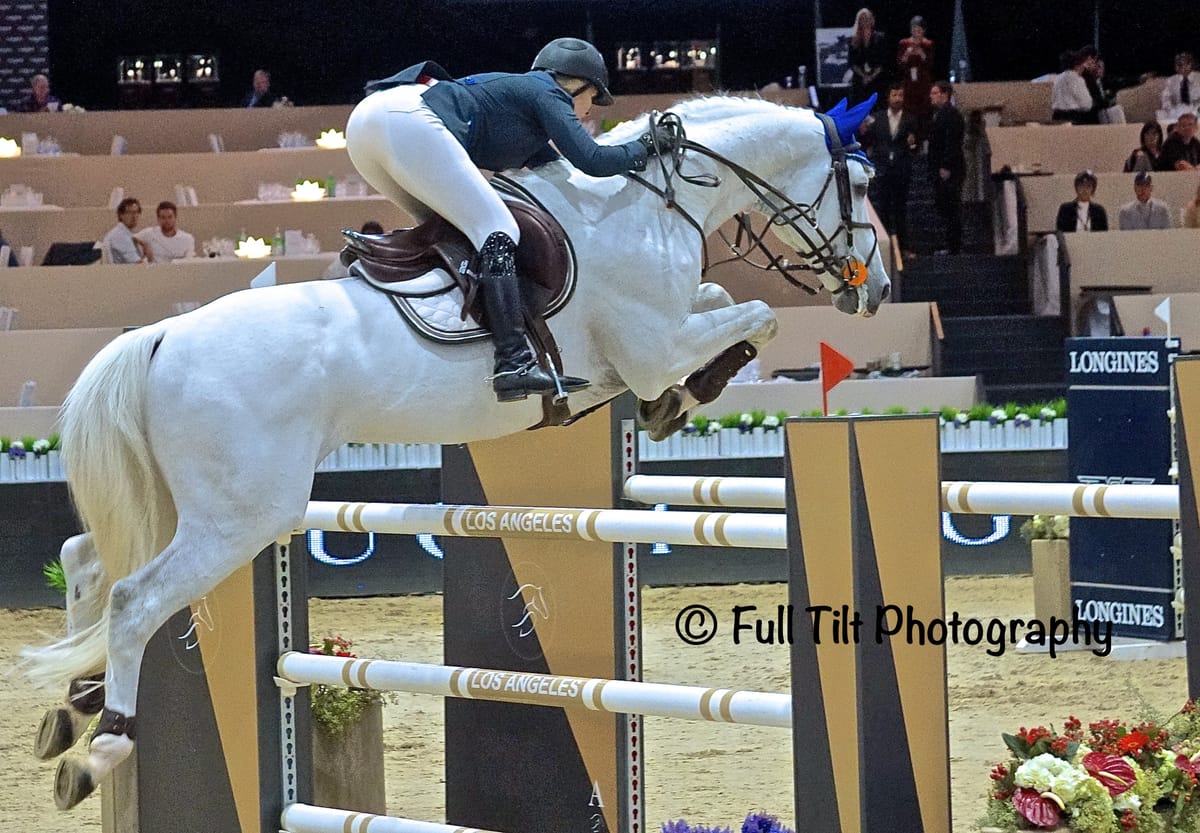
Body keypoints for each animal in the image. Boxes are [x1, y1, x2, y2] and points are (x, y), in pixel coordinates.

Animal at [20, 93, 889, 810]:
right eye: (861, 183)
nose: (876, 289)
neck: (646, 203)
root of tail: (160, 337)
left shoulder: (658, 335)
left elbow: (725, 305)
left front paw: (676, 399)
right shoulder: (654, 345)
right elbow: (752, 316)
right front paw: (684, 394)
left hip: (185, 504)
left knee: (85, 559)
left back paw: (71, 708)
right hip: (241, 515)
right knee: (134, 597)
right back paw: (100, 746)